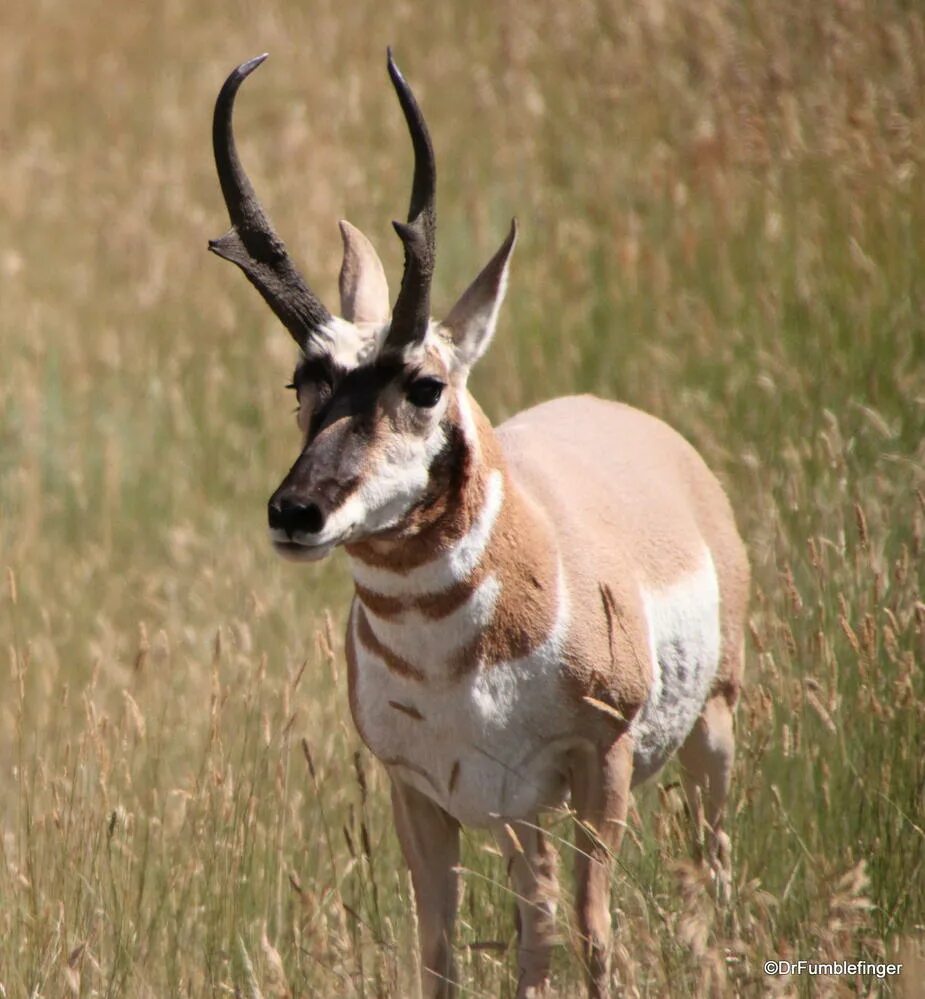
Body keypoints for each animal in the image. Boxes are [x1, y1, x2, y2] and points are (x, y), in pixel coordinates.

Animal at [209, 50, 752, 996]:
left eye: (424, 385)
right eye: (301, 381)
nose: (295, 511)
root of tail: (629, 420)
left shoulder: (599, 762)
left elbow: (595, 930)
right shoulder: (426, 792)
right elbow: (440, 948)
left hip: (706, 732)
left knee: (700, 866)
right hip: (515, 813)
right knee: (535, 921)